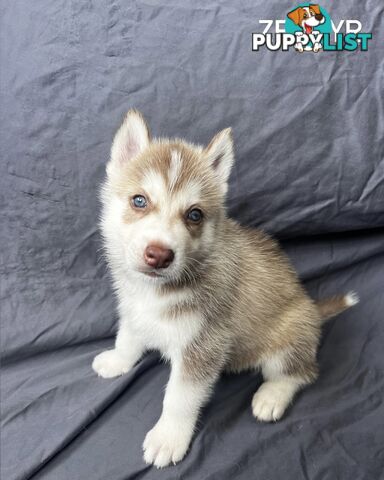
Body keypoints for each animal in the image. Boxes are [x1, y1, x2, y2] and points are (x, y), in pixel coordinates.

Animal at [91, 109, 358, 468]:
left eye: (194, 215)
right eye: (139, 200)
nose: (159, 254)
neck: (157, 290)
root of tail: (313, 310)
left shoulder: (203, 346)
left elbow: (179, 397)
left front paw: (168, 438)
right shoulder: (134, 310)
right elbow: (129, 337)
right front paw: (117, 360)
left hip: (287, 341)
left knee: (300, 373)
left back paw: (271, 396)